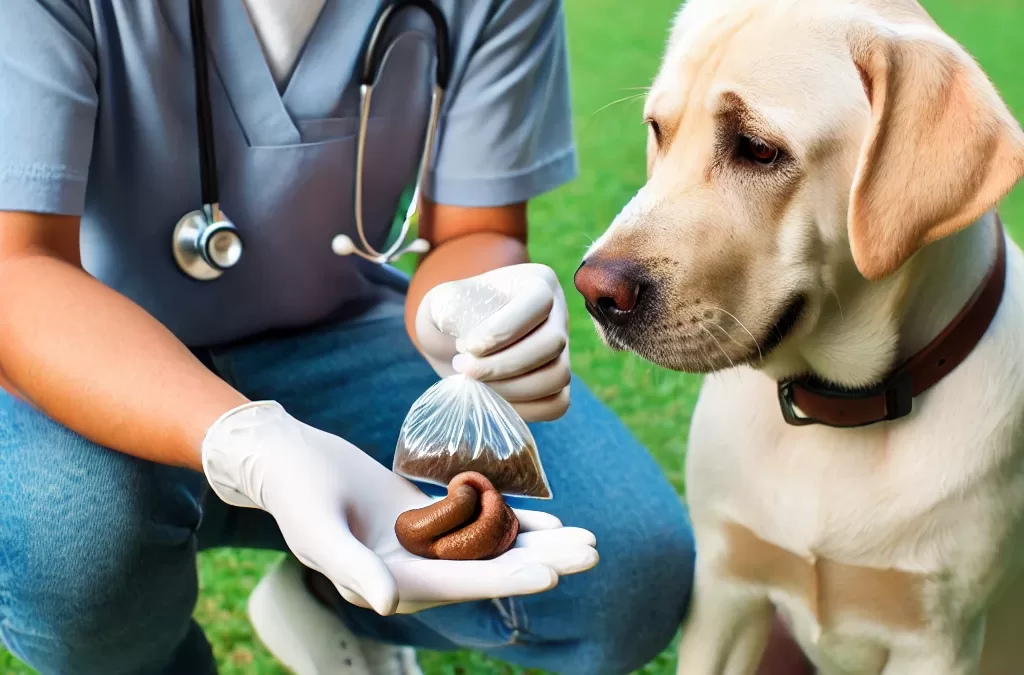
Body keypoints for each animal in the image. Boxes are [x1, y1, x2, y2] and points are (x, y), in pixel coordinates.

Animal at [577, 1, 1024, 675]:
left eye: (759, 149)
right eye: (659, 130)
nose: (593, 293)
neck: (838, 413)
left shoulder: (938, 641)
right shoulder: (725, 592)